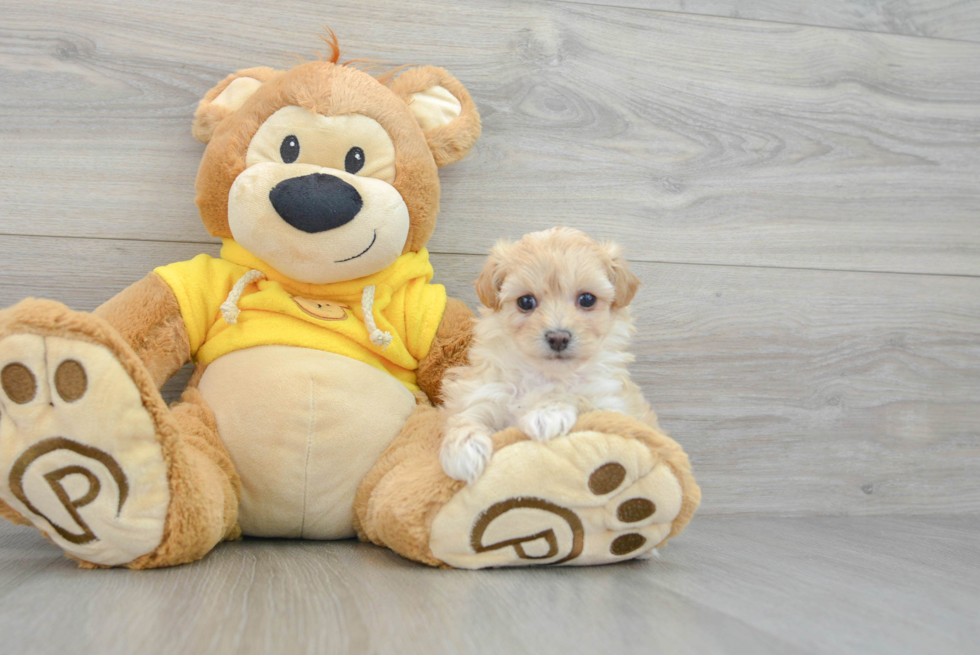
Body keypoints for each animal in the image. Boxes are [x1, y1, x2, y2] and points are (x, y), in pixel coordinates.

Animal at [440, 228, 656, 484]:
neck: (545, 375)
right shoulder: (487, 391)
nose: (558, 338)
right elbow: (469, 414)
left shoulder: (614, 406)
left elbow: (579, 398)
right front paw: (462, 450)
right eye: (525, 301)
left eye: (587, 299)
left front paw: (547, 413)